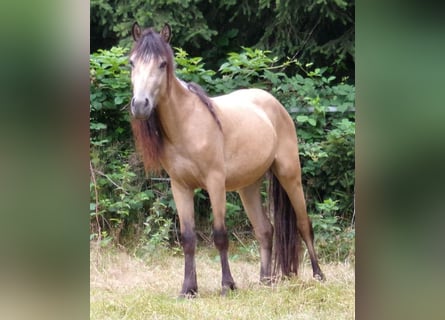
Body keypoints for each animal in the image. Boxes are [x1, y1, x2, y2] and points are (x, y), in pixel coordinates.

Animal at [126, 23, 324, 298]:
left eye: (162, 64)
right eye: (132, 63)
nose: (140, 105)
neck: (186, 124)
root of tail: (274, 104)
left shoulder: (215, 183)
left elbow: (220, 235)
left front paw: (227, 285)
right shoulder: (180, 187)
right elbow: (188, 238)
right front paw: (188, 289)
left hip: (289, 174)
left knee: (304, 224)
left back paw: (318, 275)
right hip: (248, 186)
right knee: (265, 230)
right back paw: (265, 280)